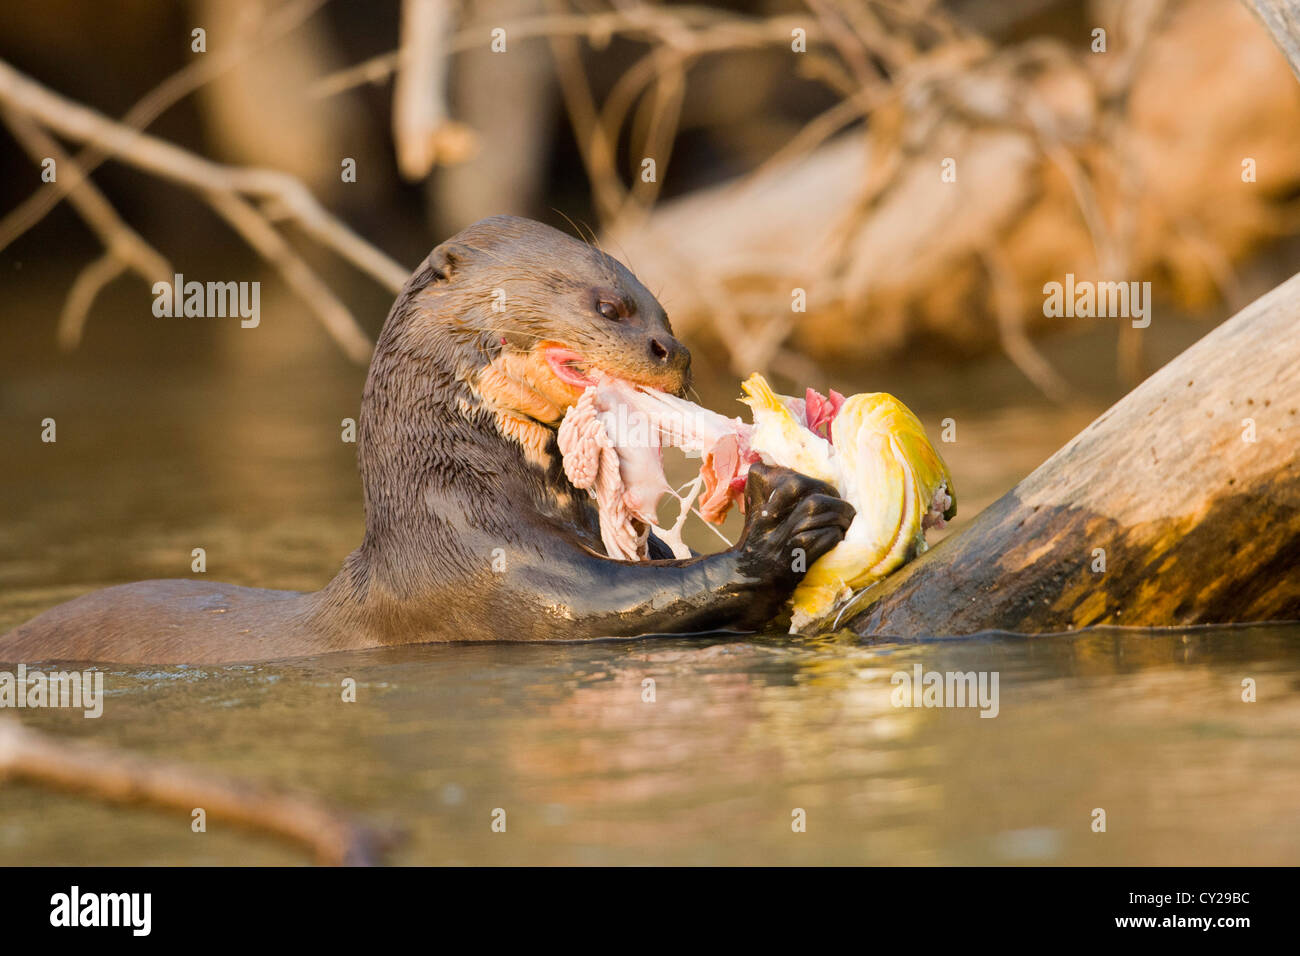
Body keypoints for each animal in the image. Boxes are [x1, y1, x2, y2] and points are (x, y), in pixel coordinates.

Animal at [2, 217, 854, 664]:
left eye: (665, 312)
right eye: (609, 306)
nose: (673, 351)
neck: (457, 499)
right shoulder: (482, 574)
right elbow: (625, 601)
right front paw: (784, 527)